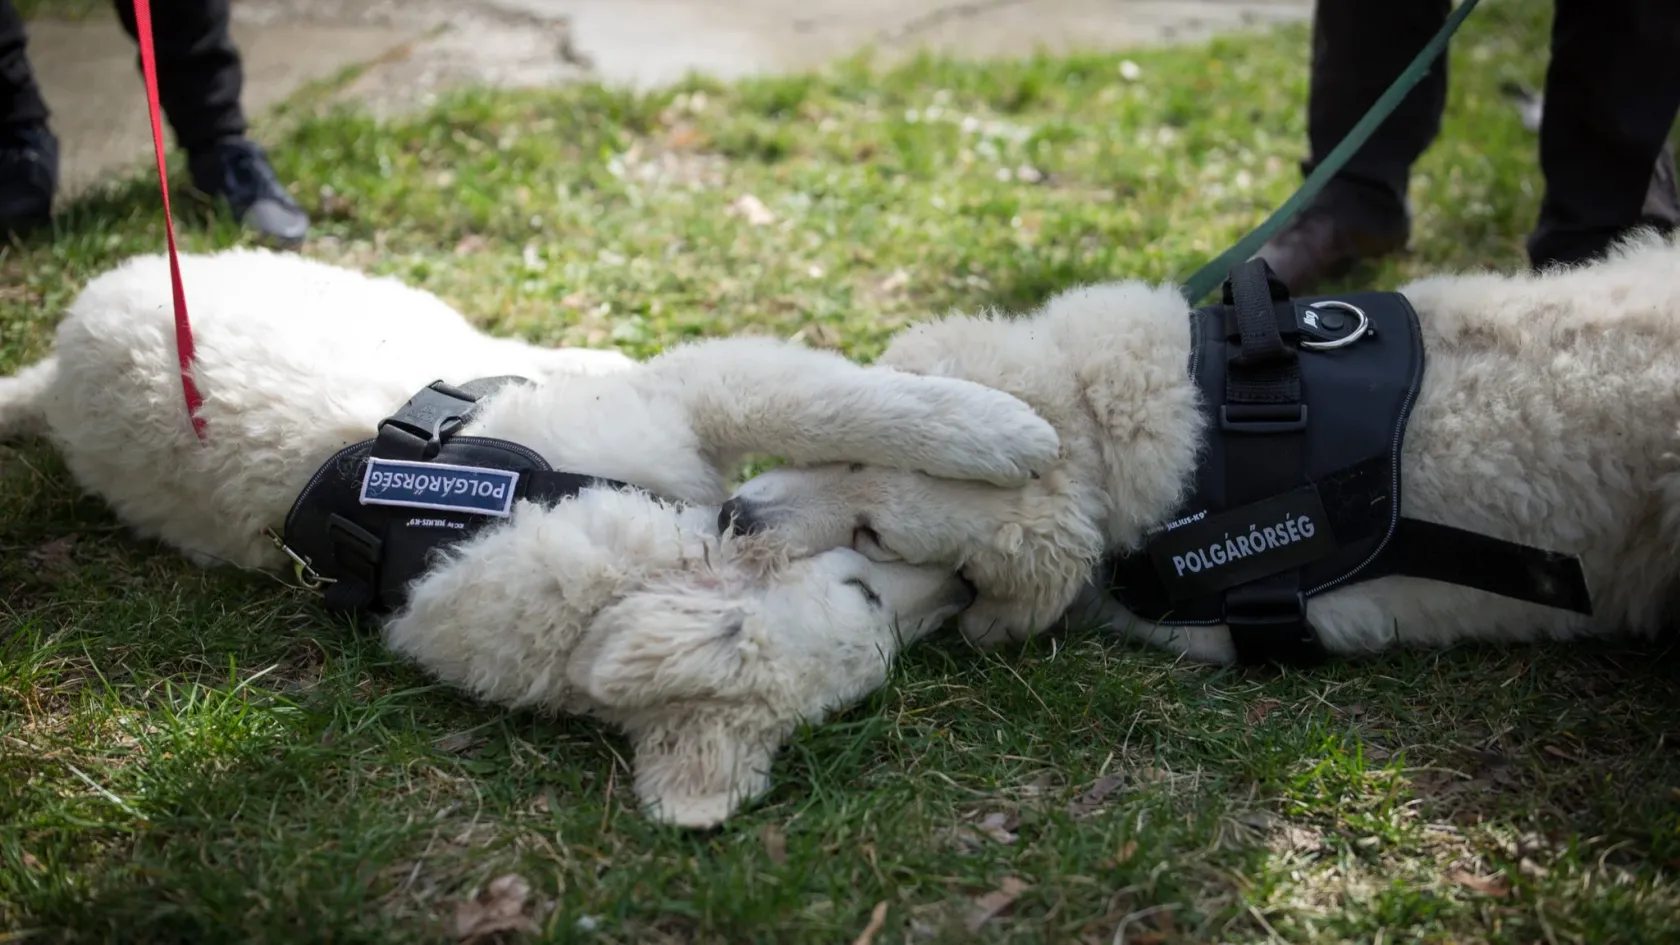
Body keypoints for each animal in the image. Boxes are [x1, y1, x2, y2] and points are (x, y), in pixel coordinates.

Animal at [3, 248, 1061, 823]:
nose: (963, 596)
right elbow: (833, 403)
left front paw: (997, 430)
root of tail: (59, 363)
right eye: (869, 606)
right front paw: (1005, 439)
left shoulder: (695, 396)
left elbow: (845, 404)